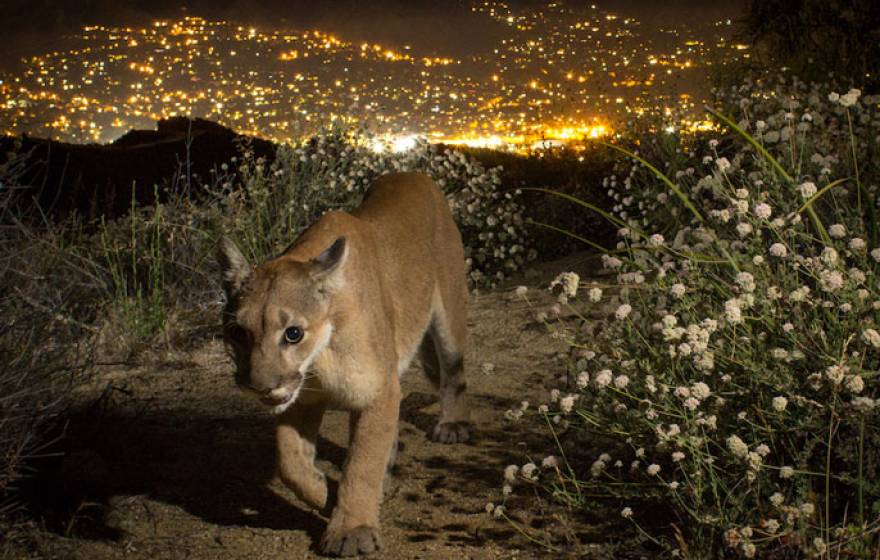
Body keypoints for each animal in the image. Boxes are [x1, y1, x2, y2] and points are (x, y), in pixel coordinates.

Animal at [217, 173, 470, 556]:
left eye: (293, 333)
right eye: (237, 332)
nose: (260, 385)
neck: (320, 357)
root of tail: (412, 174)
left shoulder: (377, 389)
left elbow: (361, 464)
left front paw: (353, 529)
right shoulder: (303, 399)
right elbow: (290, 459)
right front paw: (325, 493)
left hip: (448, 314)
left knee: (454, 371)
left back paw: (451, 425)